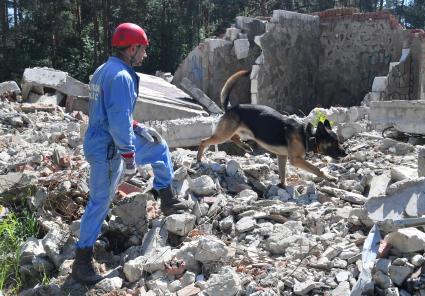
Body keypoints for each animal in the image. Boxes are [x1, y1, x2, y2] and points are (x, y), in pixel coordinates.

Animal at [197, 70, 346, 187]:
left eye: (338, 141)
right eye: (334, 142)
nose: (345, 154)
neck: (308, 135)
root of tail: (231, 108)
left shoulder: (282, 156)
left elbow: (282, 172)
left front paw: (283, 185)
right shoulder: (295, 159)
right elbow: (317, 169)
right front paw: (330, 177)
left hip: (235, 132)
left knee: (234, 137)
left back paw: (246, 147)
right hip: (223, 134)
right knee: (204, 141)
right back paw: (199, 159)